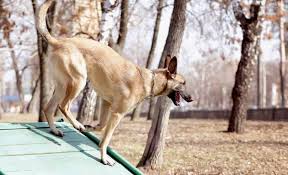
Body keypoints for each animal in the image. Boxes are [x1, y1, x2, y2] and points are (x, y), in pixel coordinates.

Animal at [37, 0, 192, 165]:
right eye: (184, 83)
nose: (191, 98)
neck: (150, 80)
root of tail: (58, 41)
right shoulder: (117, 114)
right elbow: (106, 138)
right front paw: (104, 157)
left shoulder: (106, 104)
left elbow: (101, 126)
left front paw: (90, 127)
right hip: (79, 80)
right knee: (63, 106)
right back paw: (76, 124)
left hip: (62, 86)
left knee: (48, 108)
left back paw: (56, 130)